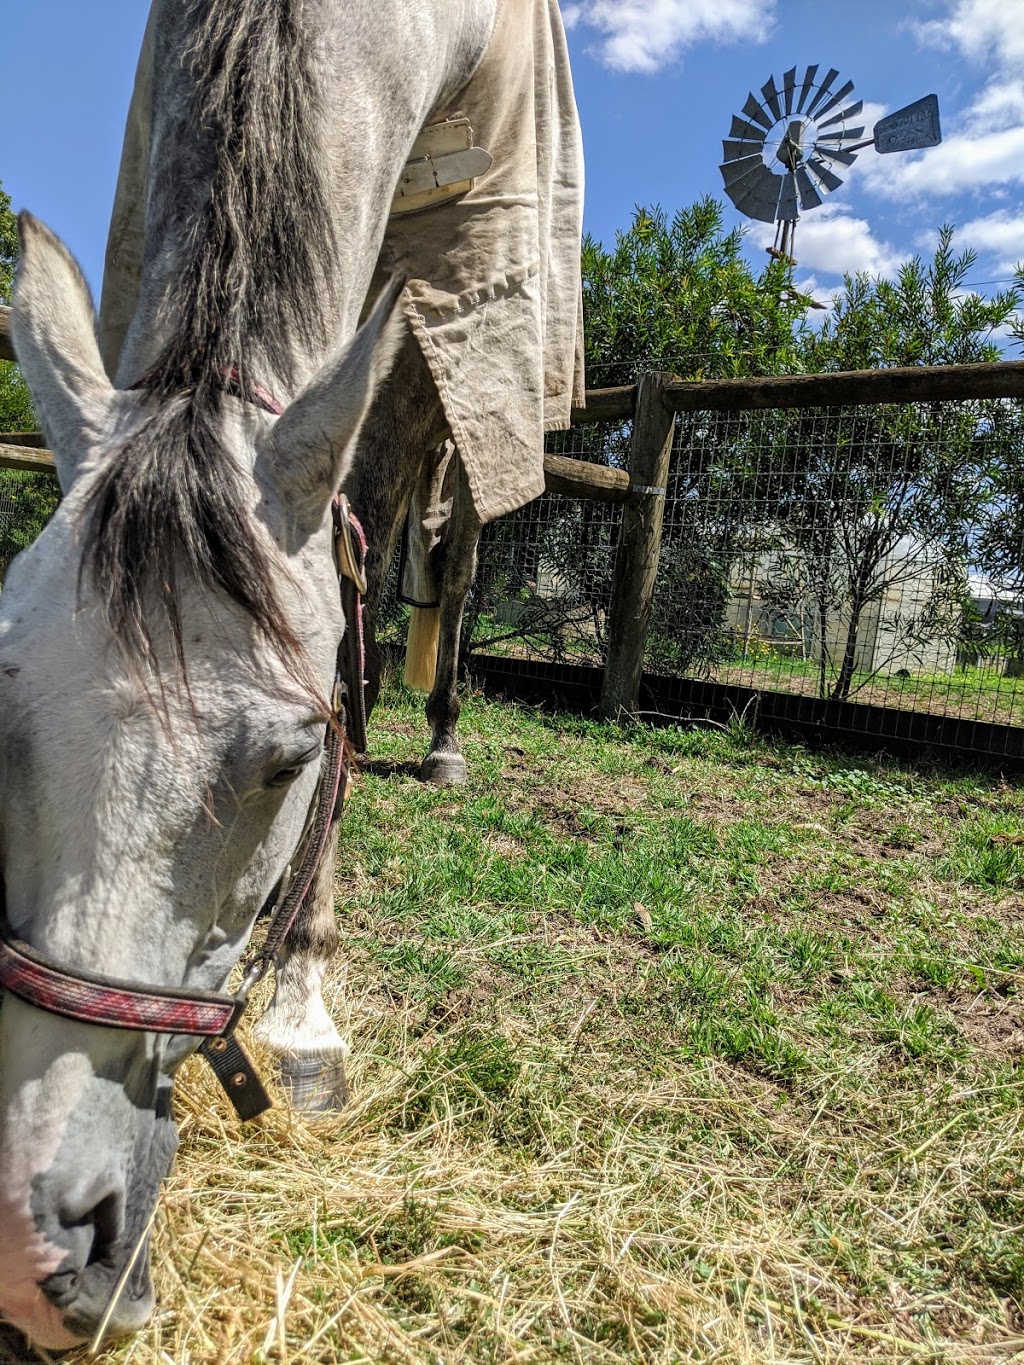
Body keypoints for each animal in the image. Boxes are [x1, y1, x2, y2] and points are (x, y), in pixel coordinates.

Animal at [0, 0, 581, 1343]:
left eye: (287, 761)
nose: (27, 1250)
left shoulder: (447, 268)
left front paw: (306, 1006)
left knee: (447, 544)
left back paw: (442, 734)